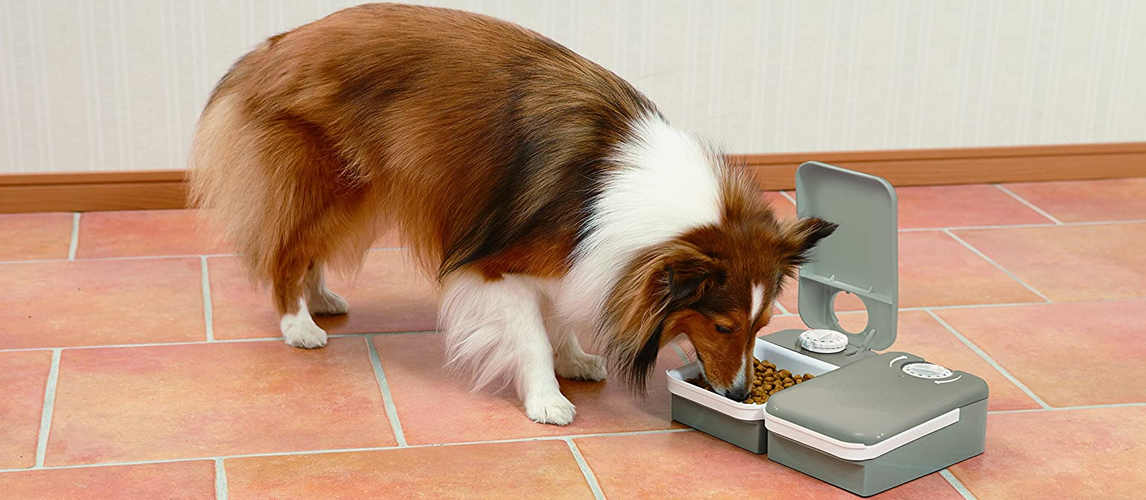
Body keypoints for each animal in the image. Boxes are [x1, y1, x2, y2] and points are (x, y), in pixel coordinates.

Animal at [185, 3, 834, 426]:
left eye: (761, 325)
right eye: (723, 326)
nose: (740, 393)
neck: (618, 194)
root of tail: (272, 44)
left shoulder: (580, 257)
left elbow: (563, 313)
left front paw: (576, 358)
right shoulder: (496, 269)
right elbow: (532, 338)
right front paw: (547, 399)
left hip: (364, 190)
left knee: (306, 248)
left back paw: (321, 299)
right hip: (331, 185)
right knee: (285, 250)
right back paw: (298, 324)